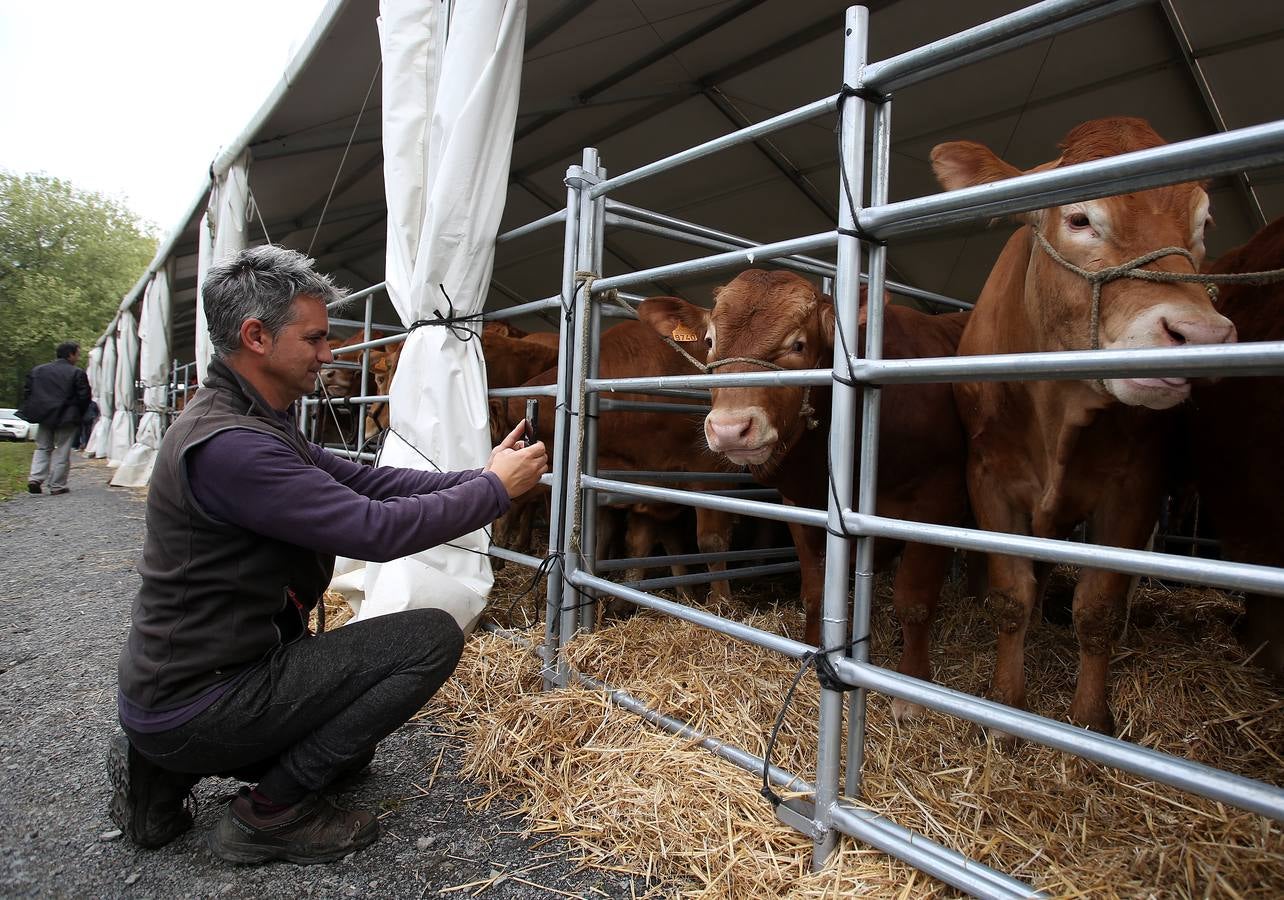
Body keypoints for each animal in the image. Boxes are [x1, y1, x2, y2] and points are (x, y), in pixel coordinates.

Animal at [636, 268, 965, 713]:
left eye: (798, 344)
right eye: (710, 341)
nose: (729, 428)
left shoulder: (936, 504)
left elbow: (914, 602)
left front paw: (911, 688)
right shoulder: (799, 507)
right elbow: (814, 589)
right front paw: (810, 647)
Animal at [939, 115, 1237, 734]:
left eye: (1203, 224)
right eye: (1080, 219)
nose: (1200, 334)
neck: (1057, 409)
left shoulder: (1136, 486)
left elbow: (1098, 607)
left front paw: (1090, 718)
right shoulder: (988, 476)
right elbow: (1011, 595)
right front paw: (1005, 704)